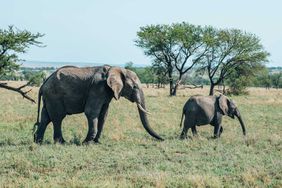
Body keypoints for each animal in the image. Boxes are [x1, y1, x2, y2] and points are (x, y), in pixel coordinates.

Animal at [33, 65, 163, 143]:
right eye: (134, 87)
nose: (163, 138)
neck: (115, 69)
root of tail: (43, 84)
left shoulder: (106, 93)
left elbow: (103, 114)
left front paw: (97, 142)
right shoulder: (97, 88)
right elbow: (91, 112)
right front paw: (86, 143)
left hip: (49, 97)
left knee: (46, 117)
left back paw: (38, 142)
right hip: (54, 95)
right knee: (57, 117)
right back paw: (61, 143)